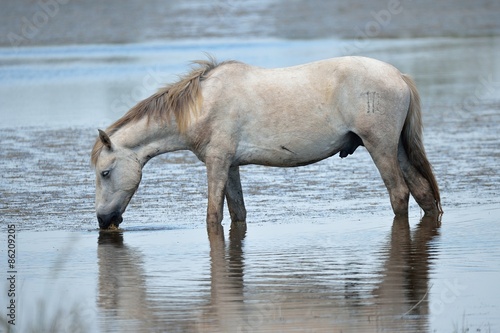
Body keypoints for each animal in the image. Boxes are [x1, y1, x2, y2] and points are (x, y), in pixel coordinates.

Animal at [90, 55, 442, 230]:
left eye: (105, 173)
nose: (103, 220)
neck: (203, 105)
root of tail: (399, 76)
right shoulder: (229, 166)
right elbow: (238, 213)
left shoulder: (217, 163)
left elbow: (213, 216)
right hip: (396, 149)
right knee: (422, 193)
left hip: (380, 147)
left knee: (399, 194)